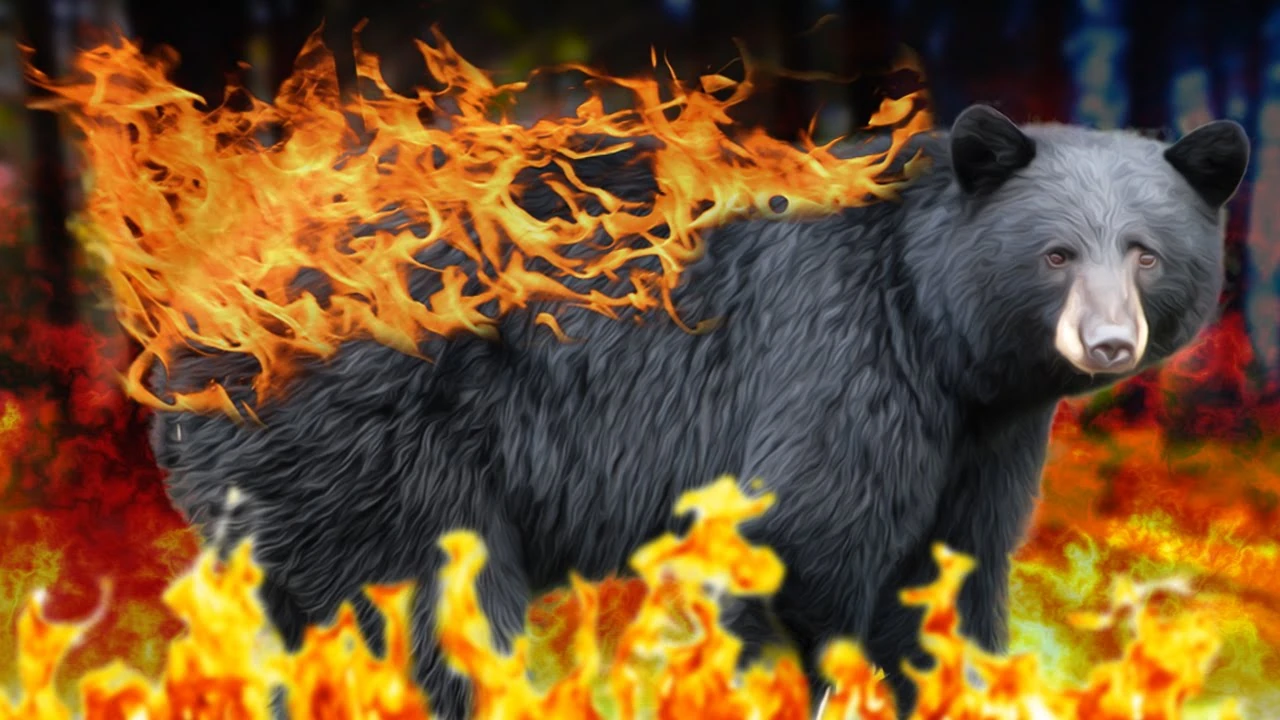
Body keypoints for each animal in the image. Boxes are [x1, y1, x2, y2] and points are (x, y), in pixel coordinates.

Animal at [147, 104, 1250, 719]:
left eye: (1145, 254)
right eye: (1055, 253)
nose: (1107, 344)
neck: (938, 330)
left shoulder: (983, 439)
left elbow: (948, 574)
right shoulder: (837, 357)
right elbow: (805, 542)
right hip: (375, 454)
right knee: (422, 617)